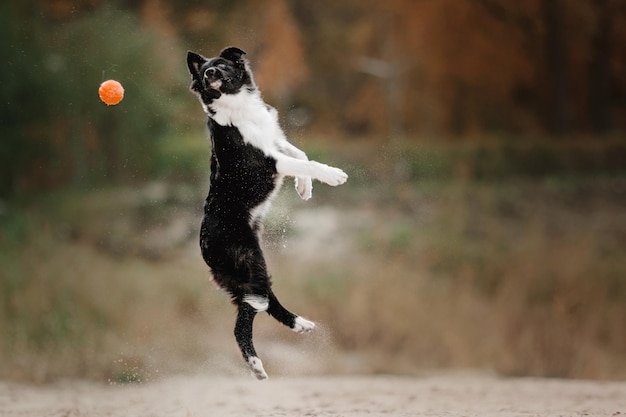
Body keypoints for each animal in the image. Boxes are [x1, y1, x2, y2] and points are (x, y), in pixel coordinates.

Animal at [188, 47, 348, 378]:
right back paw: (256, 364)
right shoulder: (264, 162)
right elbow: (306, 162)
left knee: (262, 302)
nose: (209, 73)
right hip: (250, 266)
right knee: (244, 320)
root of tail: (203, 246)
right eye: (205, 72)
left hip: (252, 269)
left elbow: (301, 154)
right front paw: (332, 175)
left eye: (220, 64)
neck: (236, 104)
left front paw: (304, 187)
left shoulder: (276, 141)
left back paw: (299, 324)